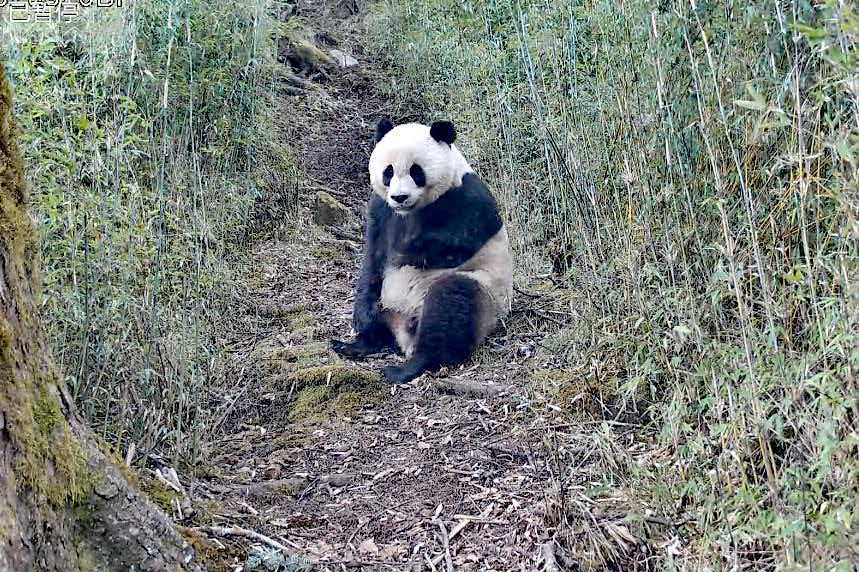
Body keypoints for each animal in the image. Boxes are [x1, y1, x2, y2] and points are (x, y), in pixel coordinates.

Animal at [331, 119, 513, 384]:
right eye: (388, 172)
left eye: (416, 172)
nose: (399, 197)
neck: (411, 211)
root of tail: (404, 332)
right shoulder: (381, 209)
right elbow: (373, 258)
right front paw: (360, 318)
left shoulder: (468, 199)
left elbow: (453, 245)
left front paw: (404, 250)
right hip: (387, 301)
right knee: (379, 317)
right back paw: (356, 344)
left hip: (481, 291)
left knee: (450, 308)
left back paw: (406, 367)